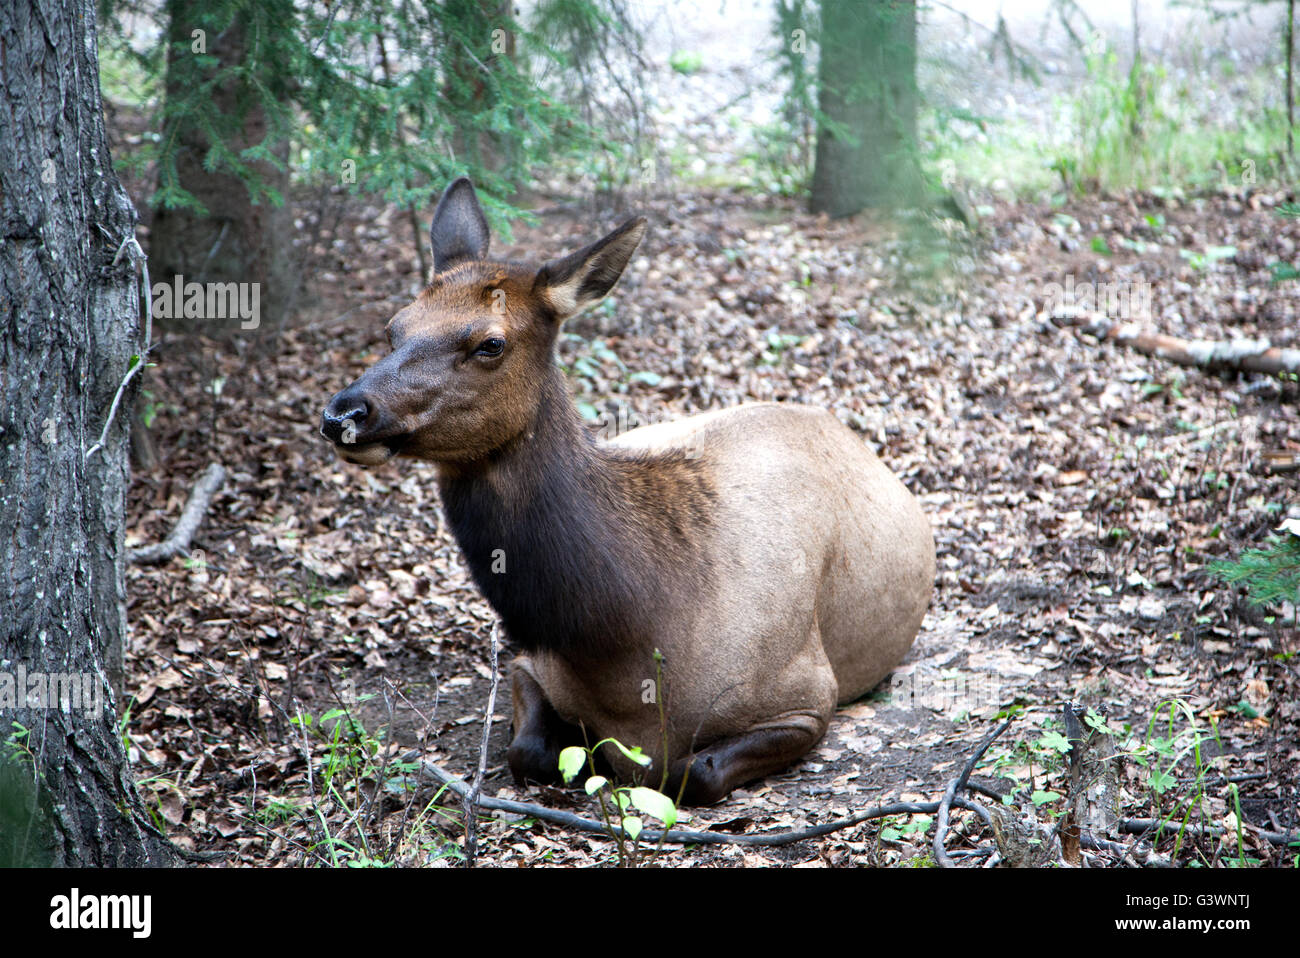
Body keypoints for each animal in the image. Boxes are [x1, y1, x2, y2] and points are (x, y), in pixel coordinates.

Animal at [323, 178, 935, 800]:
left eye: (490, 343)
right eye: (395, 327)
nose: (345, 412)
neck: (627, 639)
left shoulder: (810, 695)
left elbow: (692, 771)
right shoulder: (530, 661)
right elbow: (527, 752)